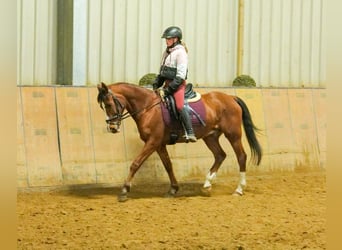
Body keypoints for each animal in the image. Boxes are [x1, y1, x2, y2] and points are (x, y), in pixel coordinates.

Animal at [96, 82, 262, 201]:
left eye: (109, 104)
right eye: (103, 106)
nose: (112, 128)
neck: (148, 108)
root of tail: (230, 98)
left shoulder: (152, 142)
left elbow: (135, 163)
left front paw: (124, 190)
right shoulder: (159, 144)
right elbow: (168, 165)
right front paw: (173, 189)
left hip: (233, 135)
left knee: (241, 156)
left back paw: (239, 189)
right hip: (210, 137)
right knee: (220, 155)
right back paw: (207, 185)